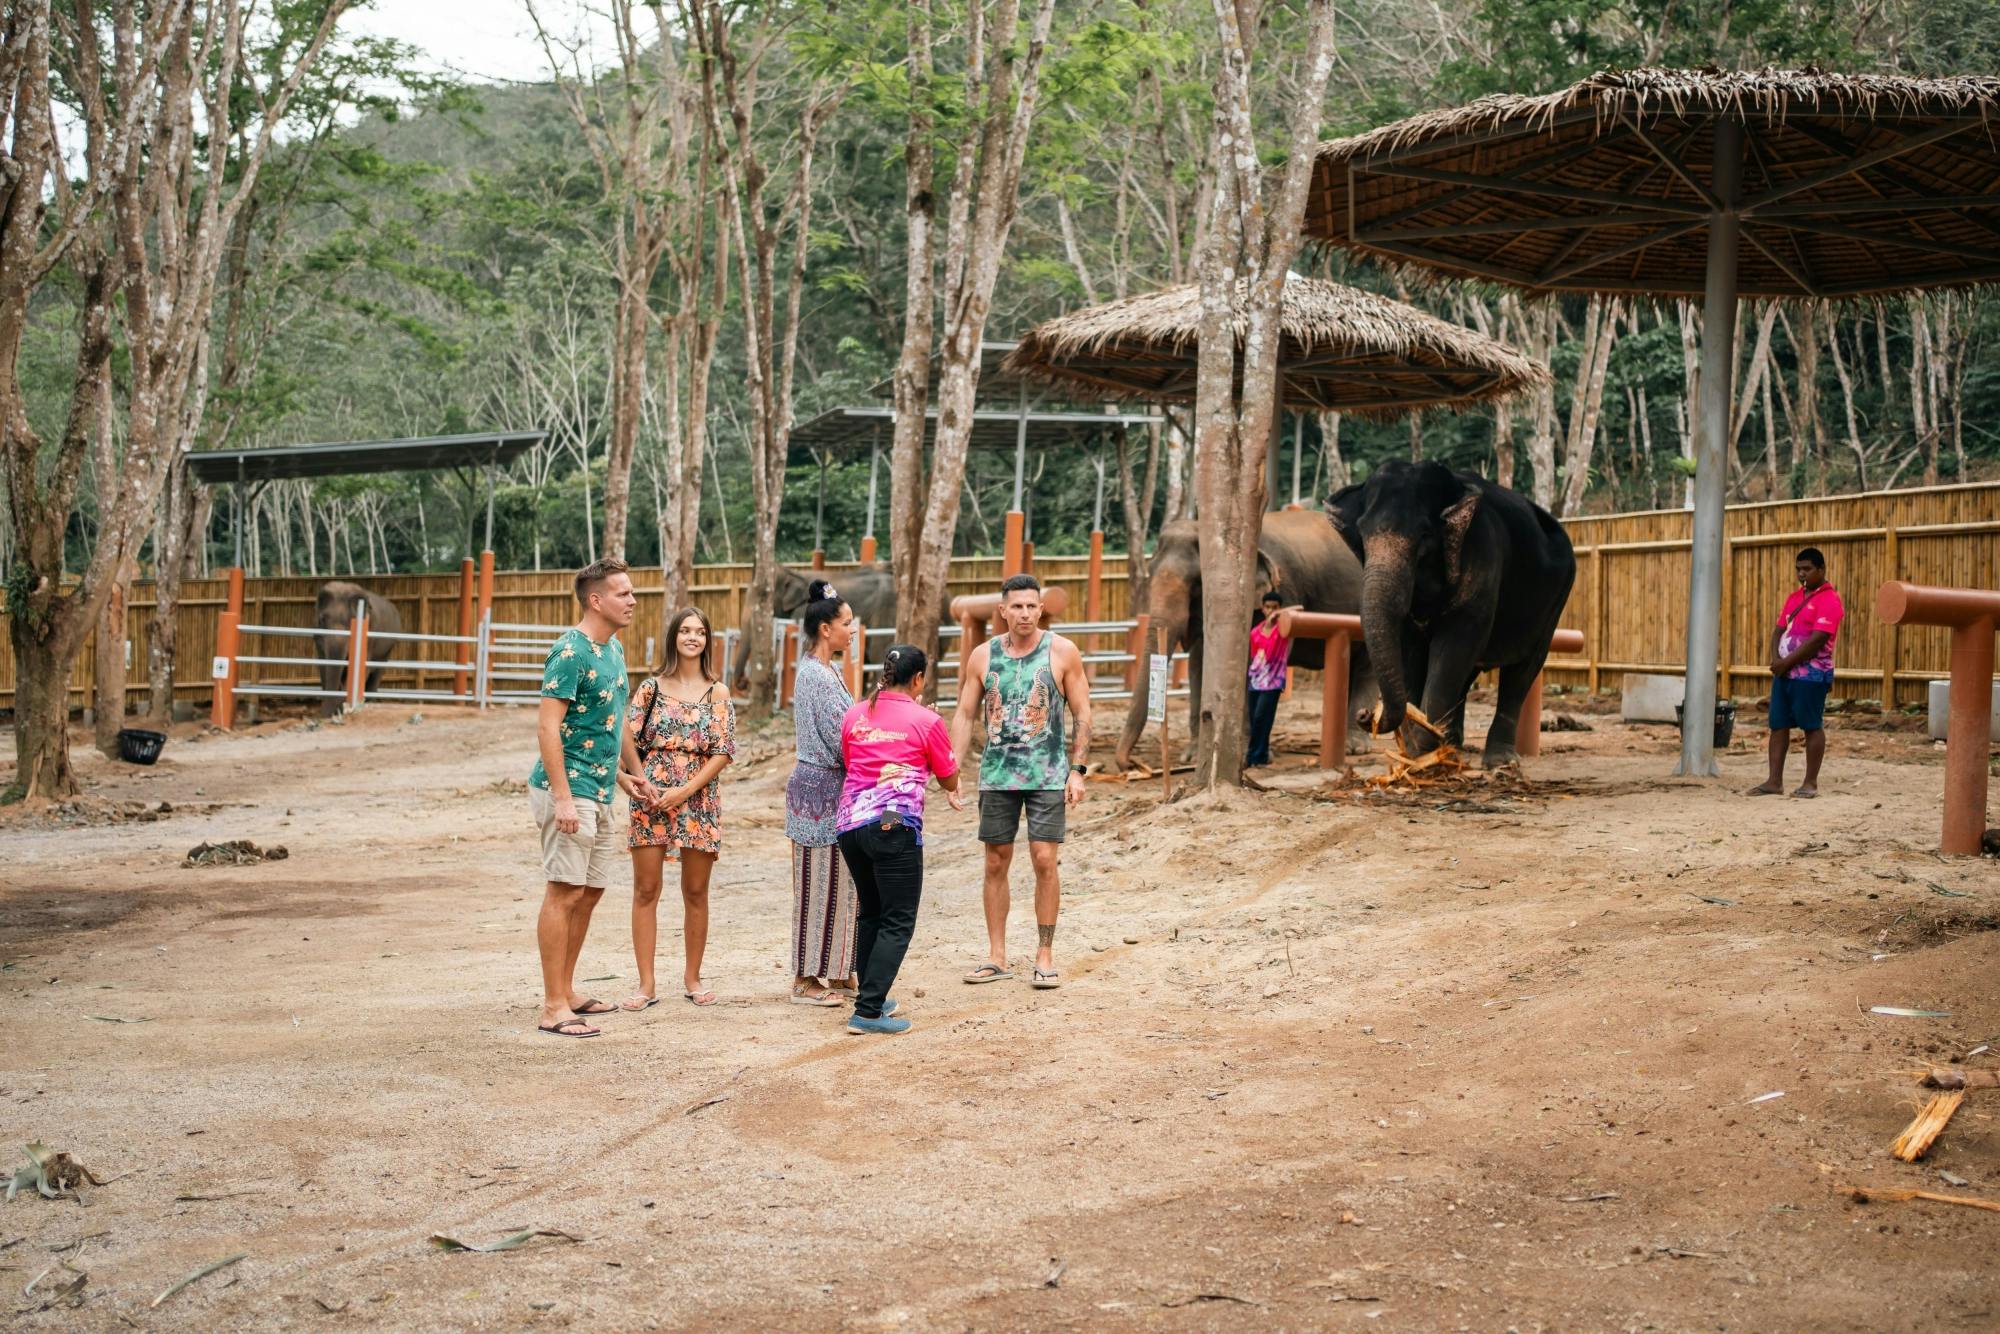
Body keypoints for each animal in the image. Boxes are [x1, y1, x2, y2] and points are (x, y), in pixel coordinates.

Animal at [314, 581, 403, 716]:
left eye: (352, 622)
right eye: (322, 620)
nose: (323, 716)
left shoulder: (370, 631)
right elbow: (324, 667)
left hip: (388, 648)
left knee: (377, 672)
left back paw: (369, 703)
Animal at [1115, 510, 1377, 769]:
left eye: (1197, 583)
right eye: (1150, 574)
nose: (1131, 764)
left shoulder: (1282, 591)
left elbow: (1251, 664)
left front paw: (1242, 756)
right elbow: (1199, 663)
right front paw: (1192, 756)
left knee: (1365, 666)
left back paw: (1355, 747)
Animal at [1328, 460, 1576, 767]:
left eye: (1424, 535)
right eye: (1362, 536)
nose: (1365, 714)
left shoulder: (1483, 557)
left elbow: (1453, 648)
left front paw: (1424, 751)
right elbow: (1412, 653)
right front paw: (1418, 753)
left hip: (1557, 599)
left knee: (1523, 669)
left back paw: (1500, 762)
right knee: (1470, 673)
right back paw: (1452, 744)